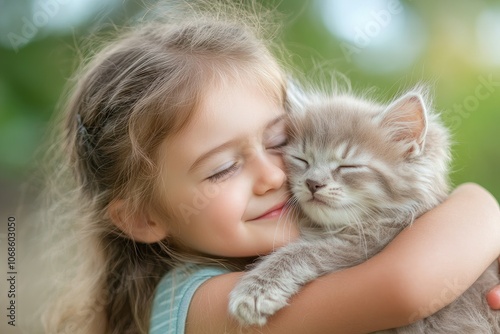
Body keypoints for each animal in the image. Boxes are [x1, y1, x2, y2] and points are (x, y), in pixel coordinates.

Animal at [228, 87, 500, 332]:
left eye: (348, 166)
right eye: (302, 160)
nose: (313, 183)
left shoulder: (363, 245)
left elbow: (302, 251)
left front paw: (255, 293)